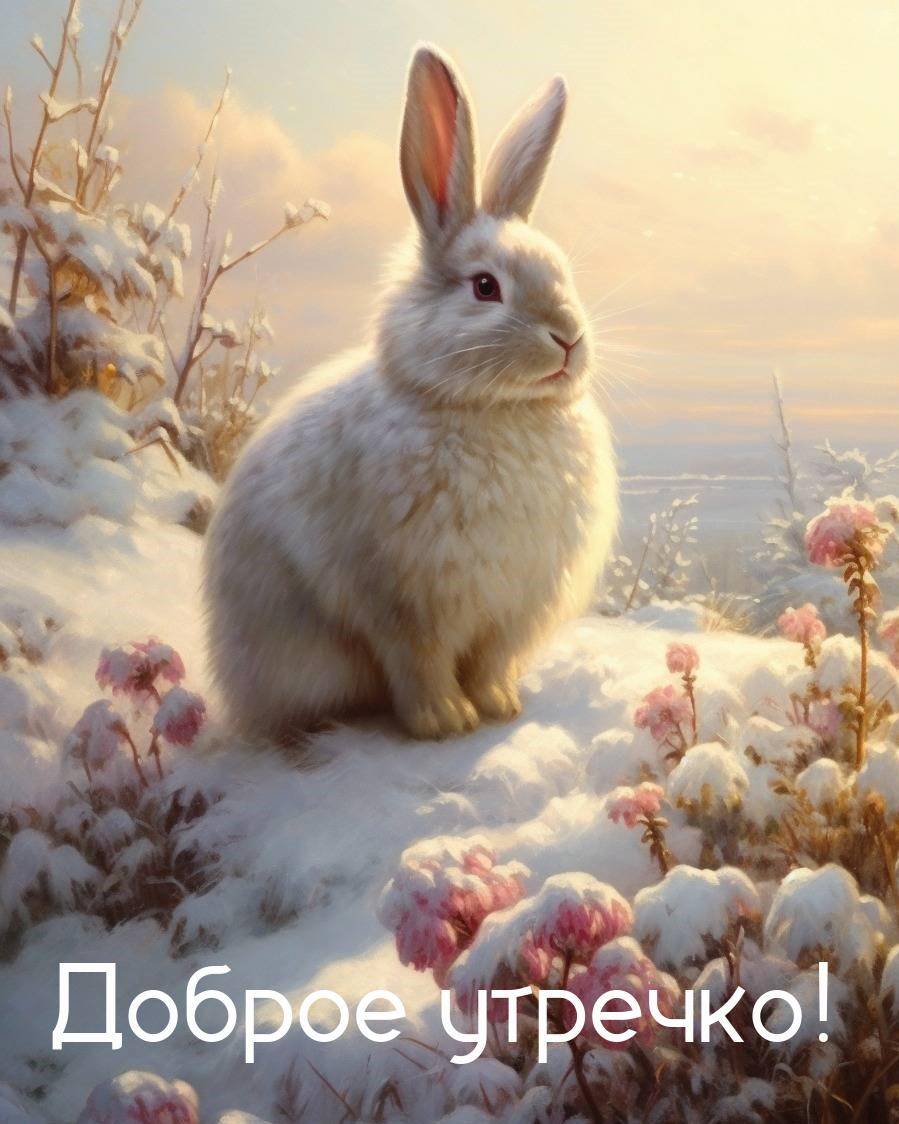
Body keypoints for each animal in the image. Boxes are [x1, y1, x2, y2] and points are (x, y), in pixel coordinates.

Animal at [204, 43, 619, 743]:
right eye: (485, 287)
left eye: (562, 273)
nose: (569, 339)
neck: (490, 409)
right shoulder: (403, 602)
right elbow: (419, 663)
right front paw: (444, 723)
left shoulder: (510, 609)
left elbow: (491, 662)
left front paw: (501, 706)